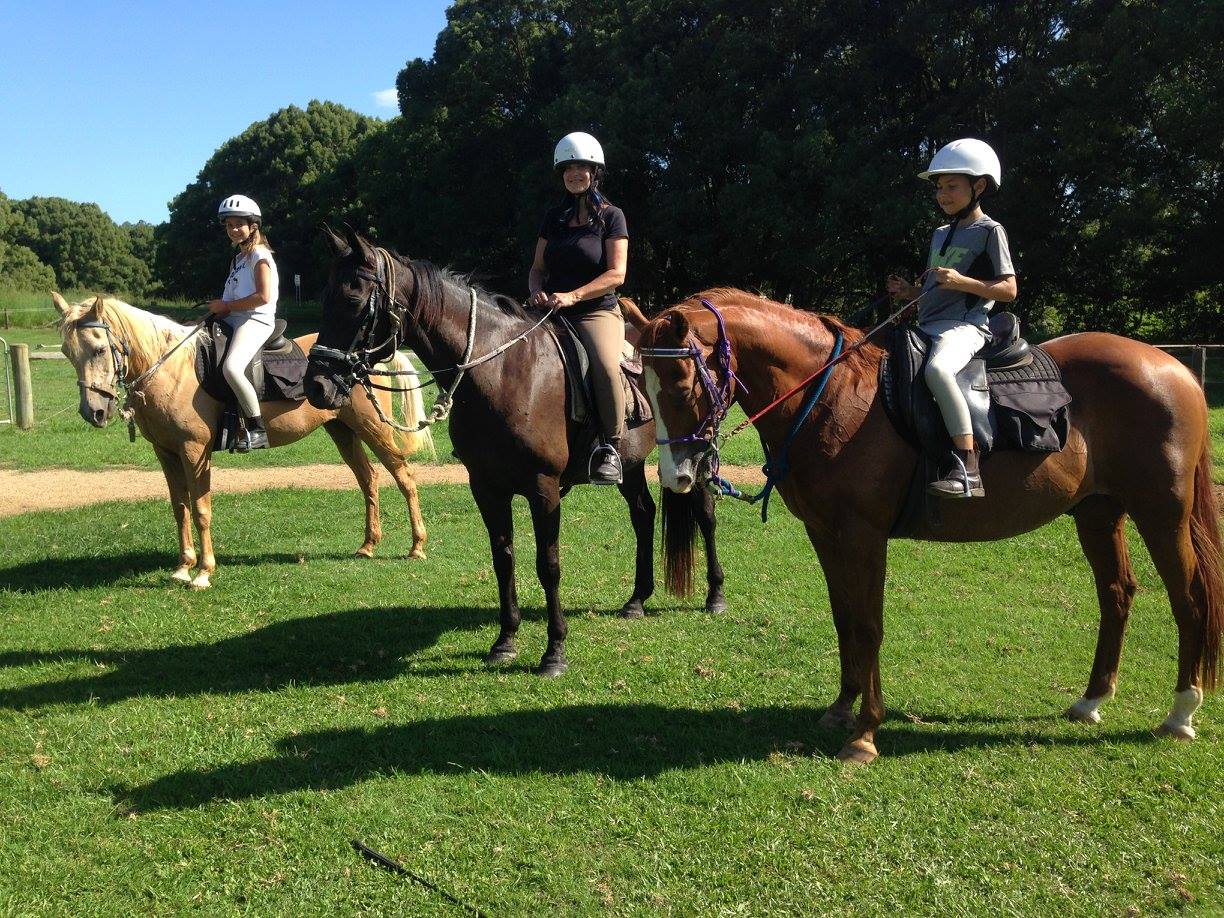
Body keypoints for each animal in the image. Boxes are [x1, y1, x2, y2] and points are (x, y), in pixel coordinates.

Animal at [53, 292, 432, 589]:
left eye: (99, 349)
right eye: (68, 353)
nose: (93, 411)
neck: (173, 370)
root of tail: (362, 359)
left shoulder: (195, 452)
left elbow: (201, 509)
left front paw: (203, 572)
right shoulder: (166, 453)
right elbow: (180, 508)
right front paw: (183, 567)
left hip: (373, 428)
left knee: (404, 476)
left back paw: (416, 546)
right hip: (343, 430)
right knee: (369, 479)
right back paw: (368, 545)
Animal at [304, 227, 726, 677]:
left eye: (352, 299)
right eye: (325, 296)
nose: (316, 386)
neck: (503, 372)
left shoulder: (543, 489)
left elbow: (548, 564)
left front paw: (554, 650)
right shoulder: (486, 488)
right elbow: (502, 559)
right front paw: (505, 640)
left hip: (693, 453)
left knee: (705, 513)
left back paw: (715, 595)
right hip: (629, 465)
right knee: (643, 514)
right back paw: (637, 599)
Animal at [640, 288, 1223, 764]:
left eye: (683, 381)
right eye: (642, 382)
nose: (676, 475)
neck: (833, 397)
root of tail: (1175, 370)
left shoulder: (864, 535)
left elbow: (869, 625)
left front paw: (865, 733)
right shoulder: (825, 533)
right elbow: (844, 619)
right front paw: (841, 708)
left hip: (1162, 514)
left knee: (1189, 598)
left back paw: (1180, 712)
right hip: (1098, 512)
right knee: (1117, 592)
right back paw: (1092, 699)